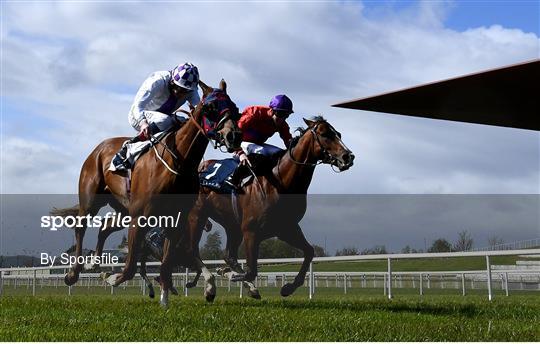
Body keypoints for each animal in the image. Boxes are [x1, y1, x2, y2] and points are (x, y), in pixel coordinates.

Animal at [50, 79, 240, 306]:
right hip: (92, 200)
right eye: (210, 107)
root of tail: (99, 148)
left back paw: (93, 263)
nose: (233, 136)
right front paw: (111, 277)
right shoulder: (140, 217)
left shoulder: (176, 219)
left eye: (235, 108)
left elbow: (166, 265)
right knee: (81, 227)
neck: (178, 161)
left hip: (123, 209)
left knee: (105, 227)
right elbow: (131, 266)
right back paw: (74, 272)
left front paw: (165, 299)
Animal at [181, 116, 354, 298]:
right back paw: (210, 285)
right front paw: (232, 276)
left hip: (232, 224)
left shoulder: (287, 228)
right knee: (192, 249)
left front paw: (288, 287)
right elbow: (251, 271)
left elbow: (309, 252)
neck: (280, 182)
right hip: (197, 215)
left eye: (338, 134)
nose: (348, 156)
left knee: (228, 256)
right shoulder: (251, 230)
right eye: (324, 134)